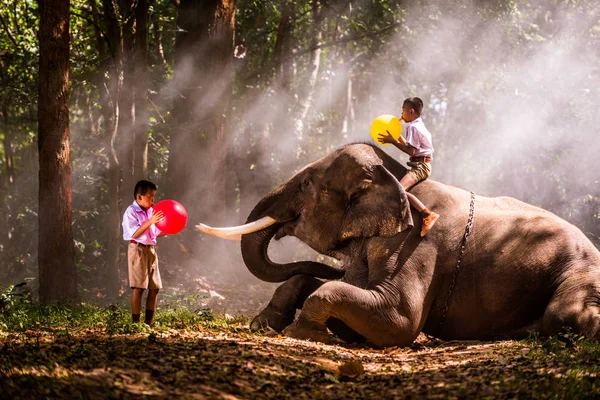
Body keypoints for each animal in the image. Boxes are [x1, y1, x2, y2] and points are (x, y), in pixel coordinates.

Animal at [198, 143, 600, 346]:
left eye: (306, 184)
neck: (397, 179)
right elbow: (341, 287)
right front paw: (263, 326)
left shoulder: (415, 244)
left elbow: (400, 318)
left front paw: (304, 333)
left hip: (581, 272)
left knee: (566, 314)